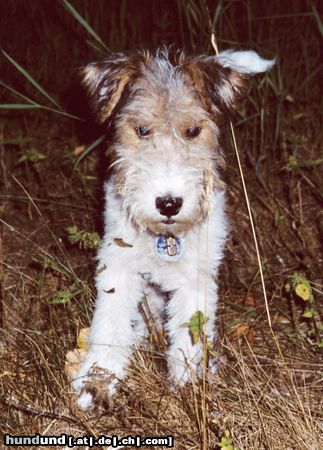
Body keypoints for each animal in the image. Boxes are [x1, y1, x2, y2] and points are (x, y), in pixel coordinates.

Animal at [72, 47, 274, 410]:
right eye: (141, 129)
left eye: (193, 130)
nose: (168, 204)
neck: (164, 239)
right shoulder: (117, 263)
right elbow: (108, 325)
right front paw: (97, 382)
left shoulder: (196, 276)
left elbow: (189, 338)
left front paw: (189, 390)